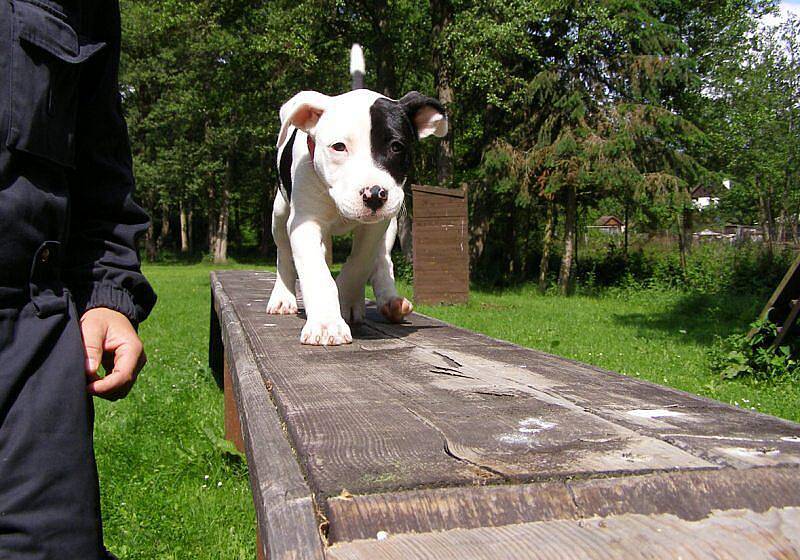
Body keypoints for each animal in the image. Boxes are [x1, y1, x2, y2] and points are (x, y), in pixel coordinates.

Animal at [266, 43, 446, 344]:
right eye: (338, 147)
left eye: (397, 147)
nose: (374, 194)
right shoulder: (305, 223)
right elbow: (316, 272)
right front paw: (326, 323)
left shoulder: (377, 225)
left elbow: (360, 263)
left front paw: (347, 300)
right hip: (280, 214)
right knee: (283, 252)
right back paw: (283, 297)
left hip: (391, 222)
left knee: (382, 259)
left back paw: (390, 301)